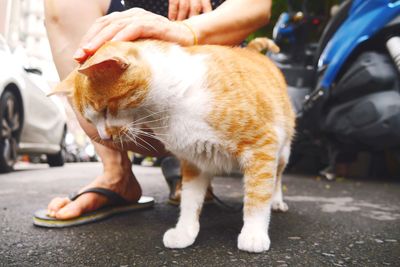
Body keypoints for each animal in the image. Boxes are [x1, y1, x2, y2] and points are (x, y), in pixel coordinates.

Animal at [51, 37, 296, 253]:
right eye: (90, 120)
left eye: (104, 110)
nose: (104, 137)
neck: (173, 104)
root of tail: (252, 52)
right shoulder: (195, 160)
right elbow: (189, 200)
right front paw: (184, 232)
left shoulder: (261, 145)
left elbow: (257, 195)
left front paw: (253, 233)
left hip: (282, 150)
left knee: (277, 177)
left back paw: (276, 201)